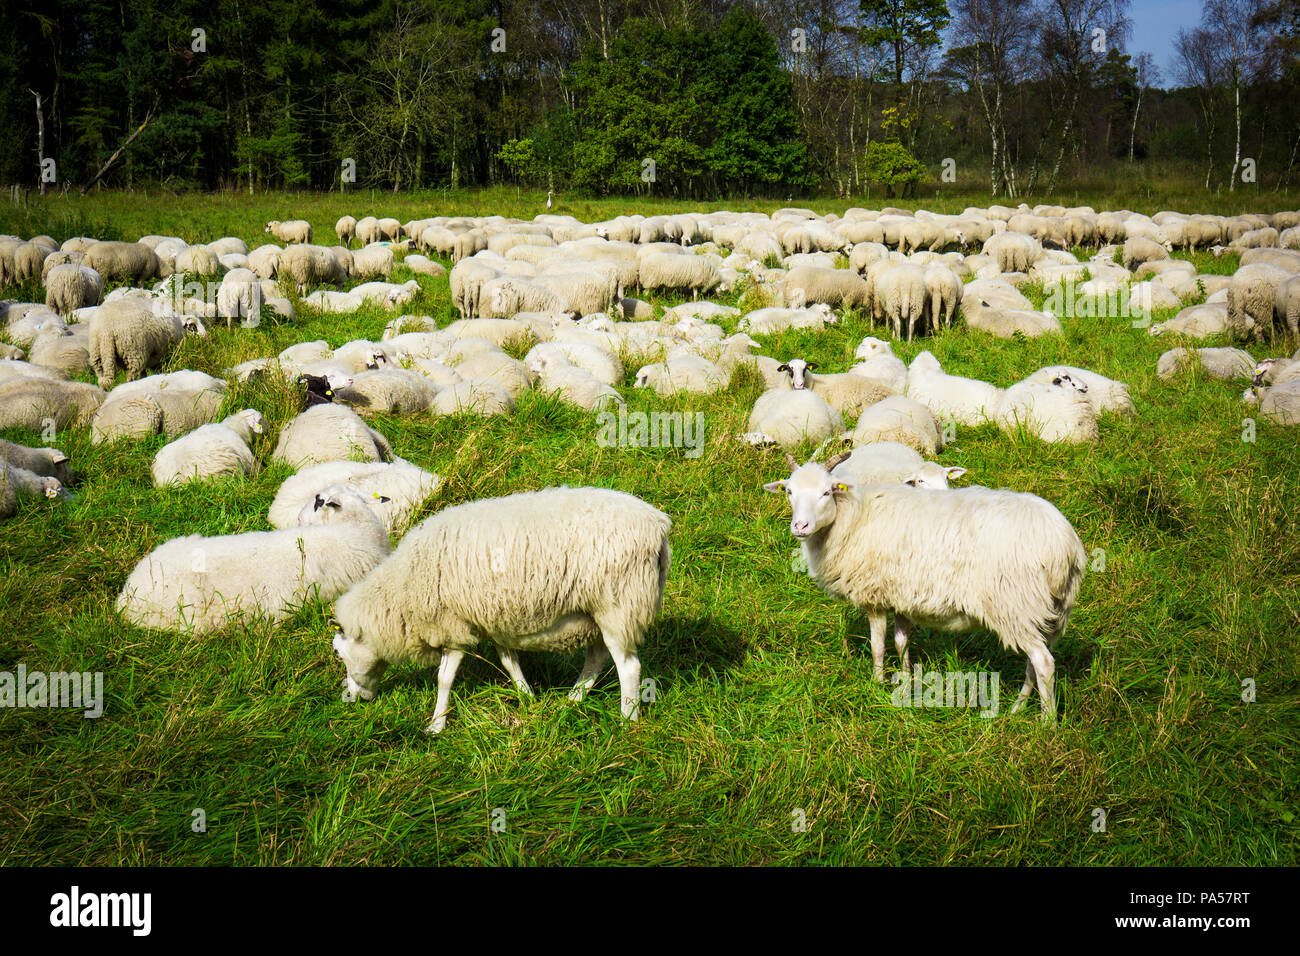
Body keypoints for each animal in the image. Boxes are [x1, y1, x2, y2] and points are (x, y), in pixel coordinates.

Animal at [331, 485, 671, 732]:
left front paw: (436, 724)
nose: (352, 699)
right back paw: (573, 699)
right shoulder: (493, 618)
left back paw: (627, 720)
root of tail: (658, 526)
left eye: (339, 653)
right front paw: (526, 695)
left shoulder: (452, 625)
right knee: (598, 657)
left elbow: (444, 678)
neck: (403, 587)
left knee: (629, 667)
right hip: (597, 612)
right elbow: (509, 661)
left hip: (617, 604)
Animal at [763, 456, 1086, 721]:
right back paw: (1018, 707)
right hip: (1046, 610)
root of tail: (1063, 545)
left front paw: (876, 685)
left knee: (1044, 663)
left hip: (1014, 604)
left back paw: (1046, 722)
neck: (851, 516)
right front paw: (906, 681)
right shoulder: (901, 595)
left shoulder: (874, 594)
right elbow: (901, 641)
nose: (800, 526)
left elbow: (878, 645)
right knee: (1036, 661)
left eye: (826, 492)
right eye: (789, 492)